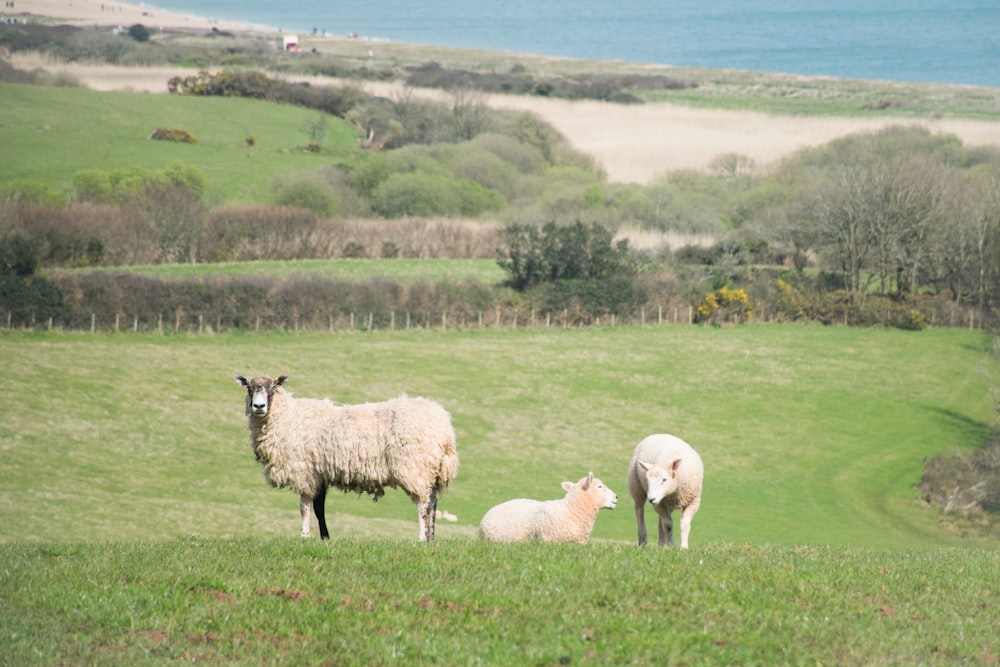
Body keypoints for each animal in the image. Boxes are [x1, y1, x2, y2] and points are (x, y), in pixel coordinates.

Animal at [234, 376, 458, 544]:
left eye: (272, 387)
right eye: (250, 388)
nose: (259, 406)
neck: (287, 417)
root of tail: (444, 427)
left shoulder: (305, 472)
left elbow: (304, 507)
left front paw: (304, 536)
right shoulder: (320, 474)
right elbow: (319, 508)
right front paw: (324, 538)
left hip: (415, 467)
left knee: (423, 504)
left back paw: (421, 538)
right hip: (430, 469)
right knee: (432, 502)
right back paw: (431, 538)